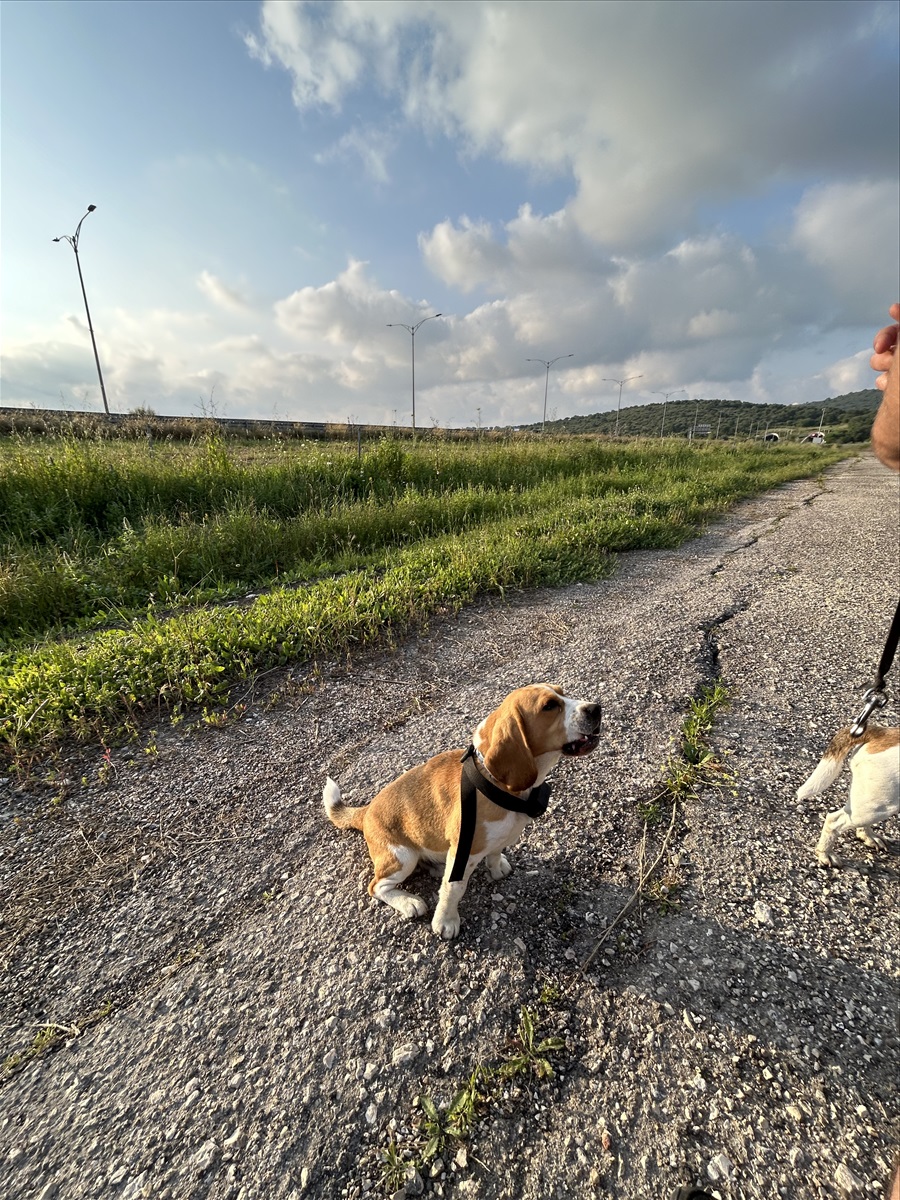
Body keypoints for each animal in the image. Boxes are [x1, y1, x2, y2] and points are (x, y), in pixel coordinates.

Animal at [321, 686, 602, 936]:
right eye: (549, 706)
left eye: (562, 692)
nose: (596, 708)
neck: (494, 783)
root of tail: (366, 811)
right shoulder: (465, 851)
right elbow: (453, 889)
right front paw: (446, 921)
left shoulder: (496, 839)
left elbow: (495, 853)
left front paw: (496, 867)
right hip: (402, 858)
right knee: (377, 886)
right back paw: (408, 901)